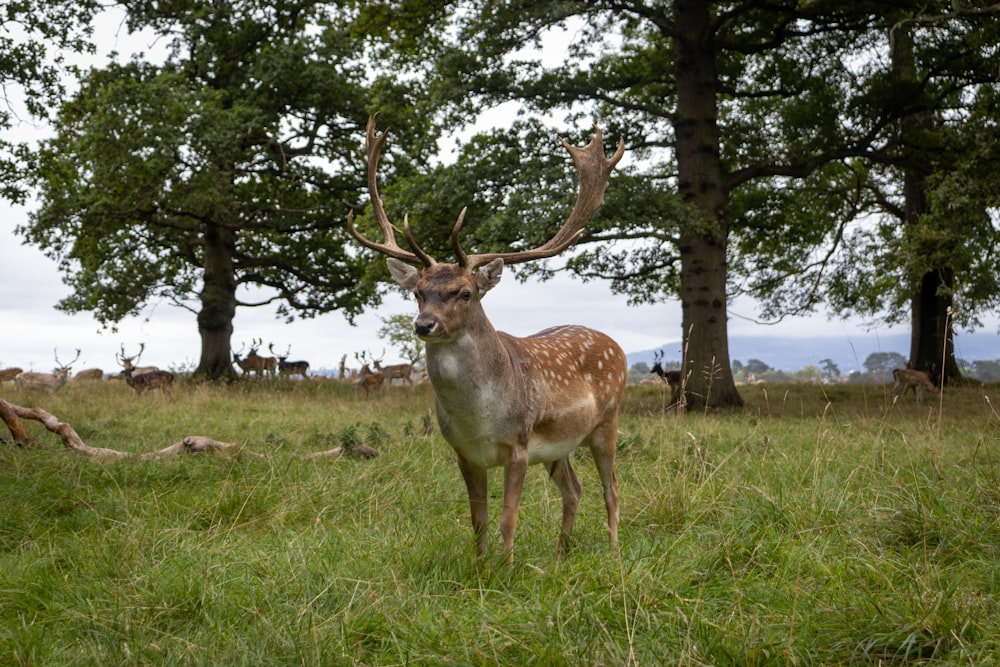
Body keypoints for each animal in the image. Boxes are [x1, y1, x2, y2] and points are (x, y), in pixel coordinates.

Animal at [346, 115, 624, 564]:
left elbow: (509, 518)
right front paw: (479, 565)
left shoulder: (519, 445)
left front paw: (507, 568)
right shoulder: (464, 454)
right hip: (559, 446)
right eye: (418, 291)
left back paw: (614, 550)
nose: (424, 325)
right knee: (574, 489)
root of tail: (615, 344)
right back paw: (559, 554)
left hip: (608, 421)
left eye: (465, 292)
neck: (478, 421)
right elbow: (478, 519)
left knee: (610, 487)